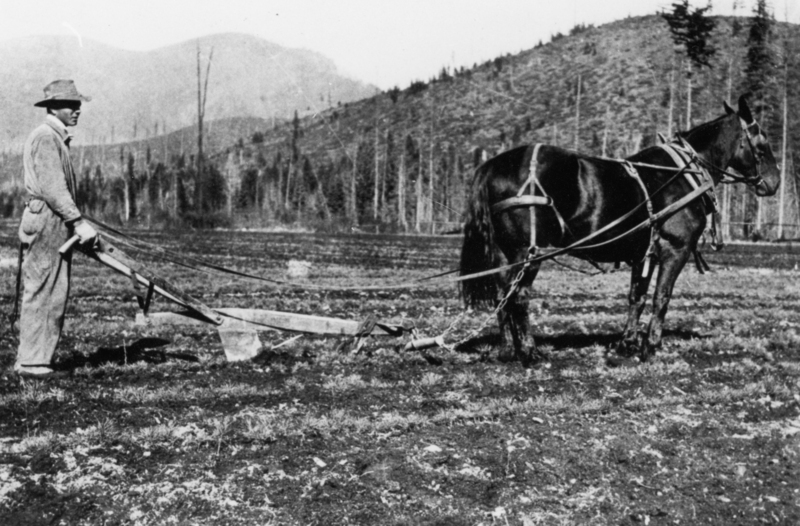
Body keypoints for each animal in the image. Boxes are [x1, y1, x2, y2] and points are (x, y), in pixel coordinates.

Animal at [459, 94, 780, 366]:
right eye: (762, 144)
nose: (774, 182)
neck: (684, 173)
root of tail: (492, 165)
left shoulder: (644, 253)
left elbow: (636, 296)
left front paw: (627, 343)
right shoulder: (675, 249)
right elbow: (661, 296)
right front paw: (651, 346)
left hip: (504, 253)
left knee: (502, 296)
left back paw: (506, 350)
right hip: (528, 252)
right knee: (519, 296)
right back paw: (529, 352)